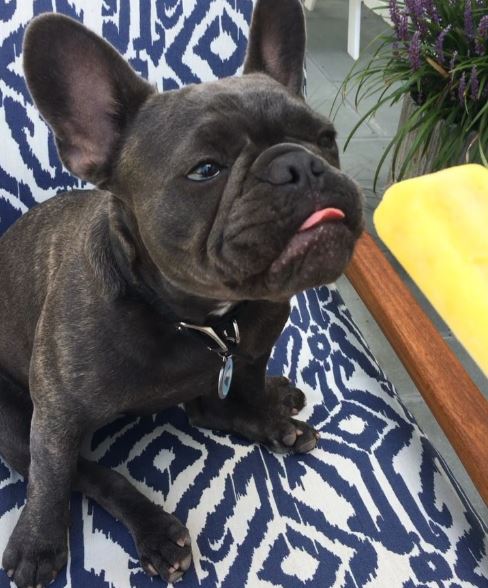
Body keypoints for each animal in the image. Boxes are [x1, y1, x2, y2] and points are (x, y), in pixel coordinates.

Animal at [0, 0, 363, 585]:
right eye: (205, 170)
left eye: (325, 137)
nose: (299, 163)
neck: (197, 317)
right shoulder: (55, 412)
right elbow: (53, 474)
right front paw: (38, 542)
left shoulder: (257, 341)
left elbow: (246, 384)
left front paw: (265, 410)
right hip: (11, 419)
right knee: (87, 472)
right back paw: (156, 530)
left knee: (207, 409)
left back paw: (276, 414)